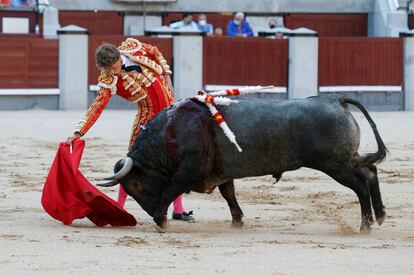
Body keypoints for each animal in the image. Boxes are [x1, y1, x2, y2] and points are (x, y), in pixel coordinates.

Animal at [98, 94, 386, 233]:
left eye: (135, 185)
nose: (148, 213)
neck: (172, 131)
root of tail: (334, 99)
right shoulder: (222, 174)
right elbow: (230, 196)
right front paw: (237, 222)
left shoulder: (187, 171)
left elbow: (170, 190)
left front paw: (161, 220)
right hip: (345, 160)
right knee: (370, 172)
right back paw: (380, 216)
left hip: (335, 164)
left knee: (361, 185)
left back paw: (365, 225)